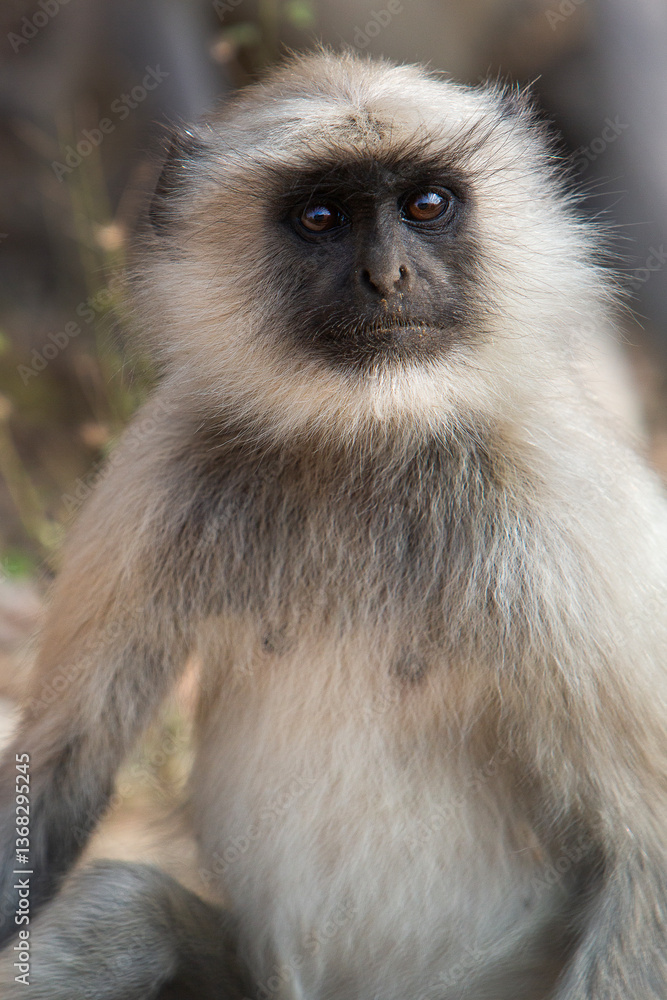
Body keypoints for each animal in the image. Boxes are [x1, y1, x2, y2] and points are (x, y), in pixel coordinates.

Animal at [0, 47, 666, 999]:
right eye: (320, 217)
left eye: (426, 205)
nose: (386, 278)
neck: (363, 442)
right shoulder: (165, 462)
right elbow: (56, 771)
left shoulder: (557, 504)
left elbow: (644, 852)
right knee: (121, 909)